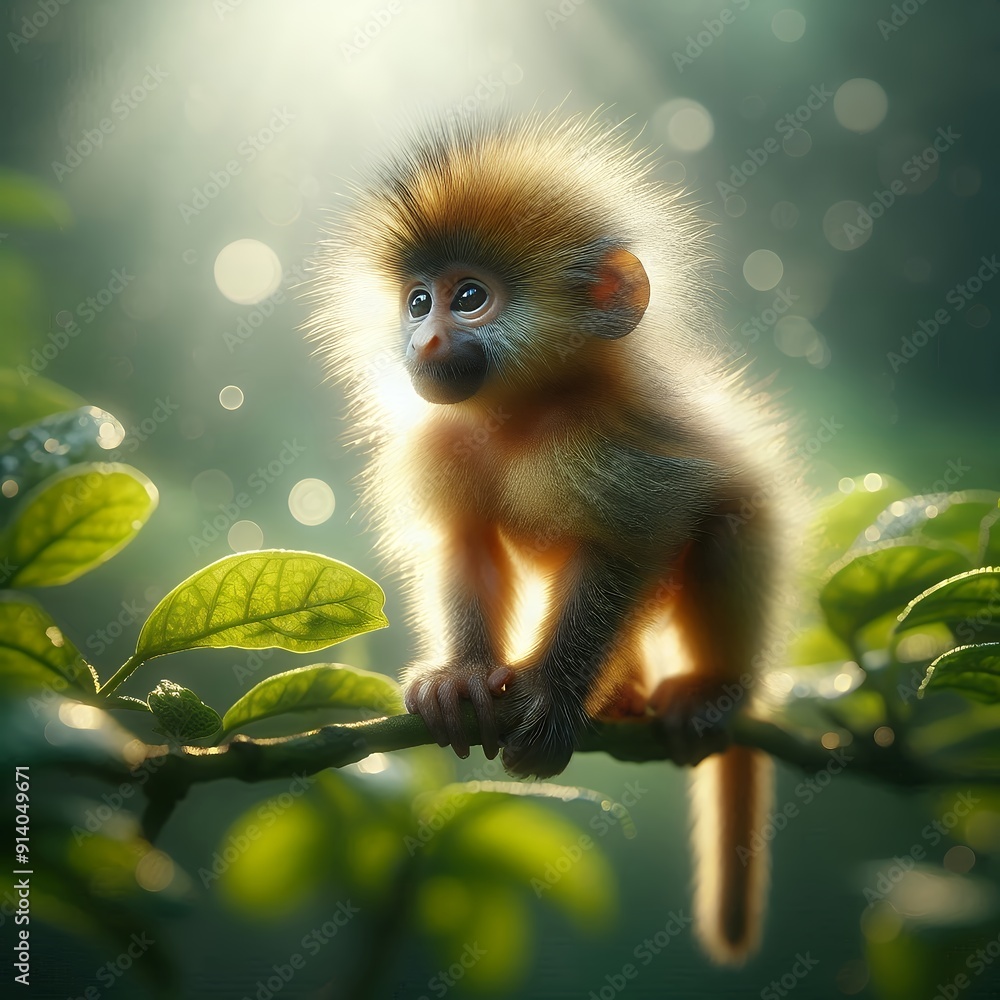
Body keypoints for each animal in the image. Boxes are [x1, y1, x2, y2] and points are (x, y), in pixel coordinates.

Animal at [309, 111, 801, 966]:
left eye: (470, 297)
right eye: (418, 301)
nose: (424, 341)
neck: (522, 416)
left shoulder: (606, 445)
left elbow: (631, 543)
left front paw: (556, 696)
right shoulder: (448, 439)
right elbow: (465, 544)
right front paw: (462, 680)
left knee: (726, 530)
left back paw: (714, 687)